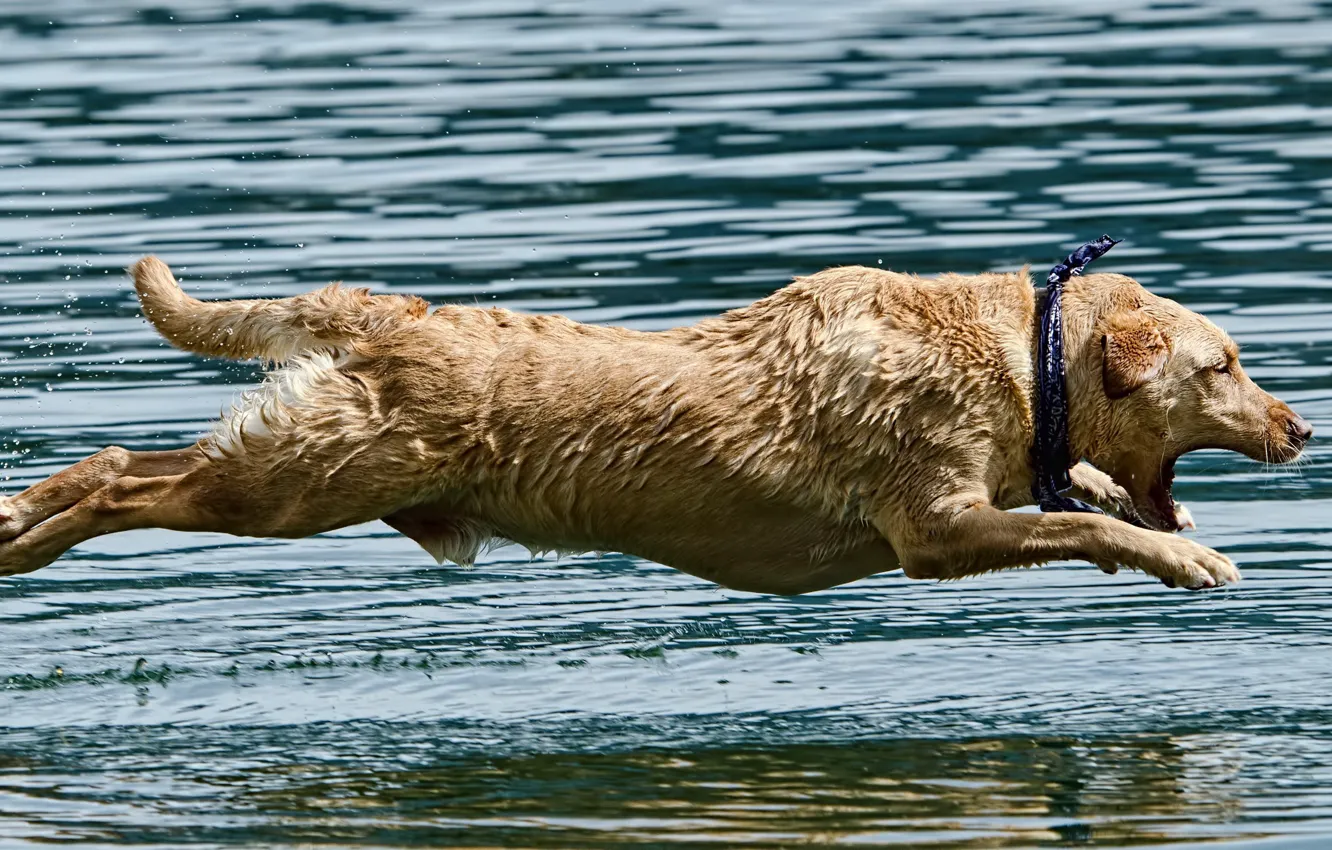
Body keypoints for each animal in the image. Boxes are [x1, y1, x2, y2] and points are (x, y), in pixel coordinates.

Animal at [0, 255, 1310, 591]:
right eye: (1228, 364)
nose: (1302, 428)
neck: (1018, 358)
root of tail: (381, 313)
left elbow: (1078, 496)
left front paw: (1116, 501)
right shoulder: (933, 530)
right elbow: (1088, 525)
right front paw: (1182, 554)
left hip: (295, 468)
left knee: (138, 463)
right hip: (300, 485)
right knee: (119, 476)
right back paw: (23, 528)